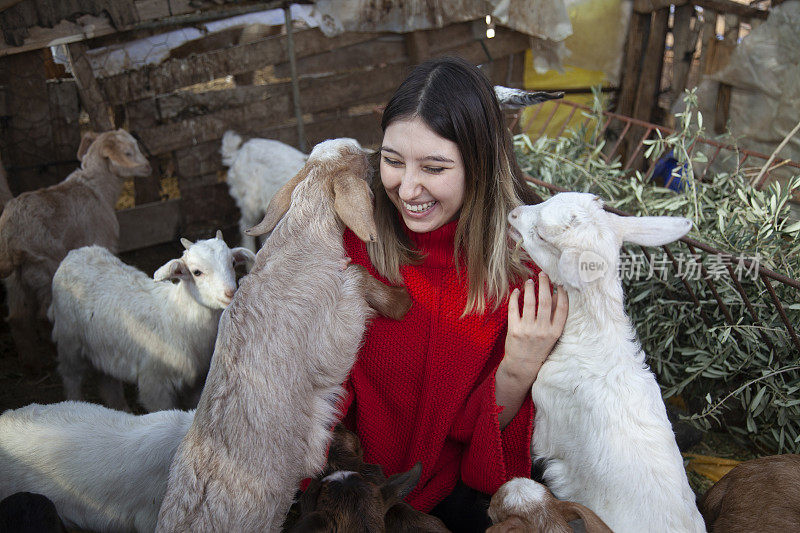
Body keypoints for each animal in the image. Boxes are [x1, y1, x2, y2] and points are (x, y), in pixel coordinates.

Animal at [49, 233, 253, 412]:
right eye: (197, 272)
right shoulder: (154, 383)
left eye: (233, 263)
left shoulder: (195, 384)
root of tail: (75, 254)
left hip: (102, 346)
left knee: (107, 380)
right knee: (70, 375)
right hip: (69, 339)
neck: (177, 315)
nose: (231, 292)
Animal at [159, 138, 416, 532]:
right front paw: (400, 301)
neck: (301, 241)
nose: (377, 155)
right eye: (359, 157)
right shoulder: (336, 328)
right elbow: (358, 275)